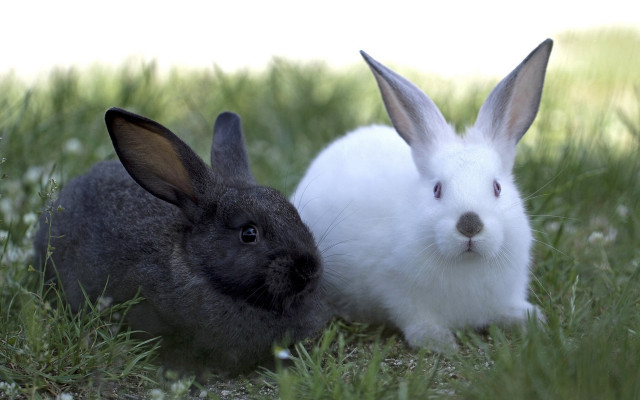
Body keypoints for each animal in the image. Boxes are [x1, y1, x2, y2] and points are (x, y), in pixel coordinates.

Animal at [291, 39, 553, 351]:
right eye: (437, 189)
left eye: (497, 187)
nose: (469, 225)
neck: (466, 263)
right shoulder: (399, 293)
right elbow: (416, 320)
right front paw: (440, 343)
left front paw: (530, 320)